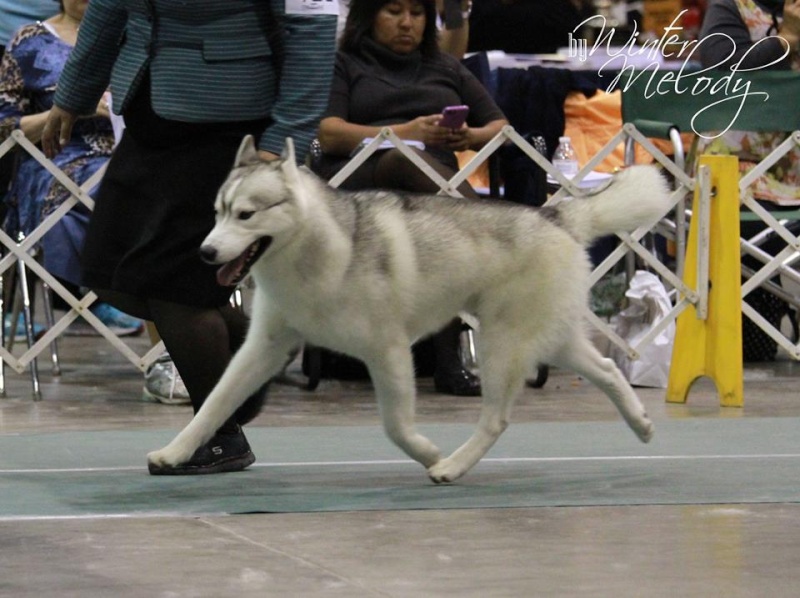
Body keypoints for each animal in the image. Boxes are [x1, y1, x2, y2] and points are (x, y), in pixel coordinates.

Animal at [148, 135, 668, 482]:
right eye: (217, 212)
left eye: (246, 215)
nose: (206, 253)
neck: (317, 257)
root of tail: (553, 214)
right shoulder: (264, 348)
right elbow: (214, 403)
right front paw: (176, 452)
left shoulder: (389, 350)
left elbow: (396, 426)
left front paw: (429, 453)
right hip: (549, 340)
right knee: (607, 368)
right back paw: (642, 424)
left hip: (501, 346)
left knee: (496, 418)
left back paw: (453, 466)